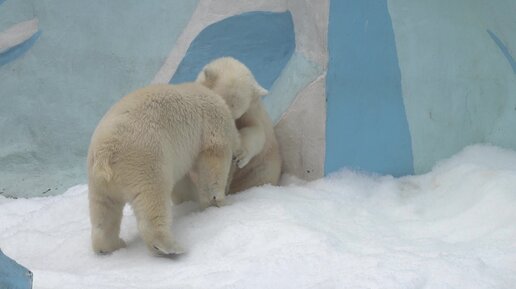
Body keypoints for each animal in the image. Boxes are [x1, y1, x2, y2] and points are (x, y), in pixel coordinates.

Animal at [87, 81, 241, 254]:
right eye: (235, 161)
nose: (229, 188)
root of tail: (105, 152)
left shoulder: (177, 158)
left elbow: (181, 183)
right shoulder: (213, 124)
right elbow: (213, 160)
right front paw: (217, 201)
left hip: (99, 181)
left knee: (104, 209)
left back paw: (110, 245)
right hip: (143, 160)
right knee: (153, 197)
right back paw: (171, 247)